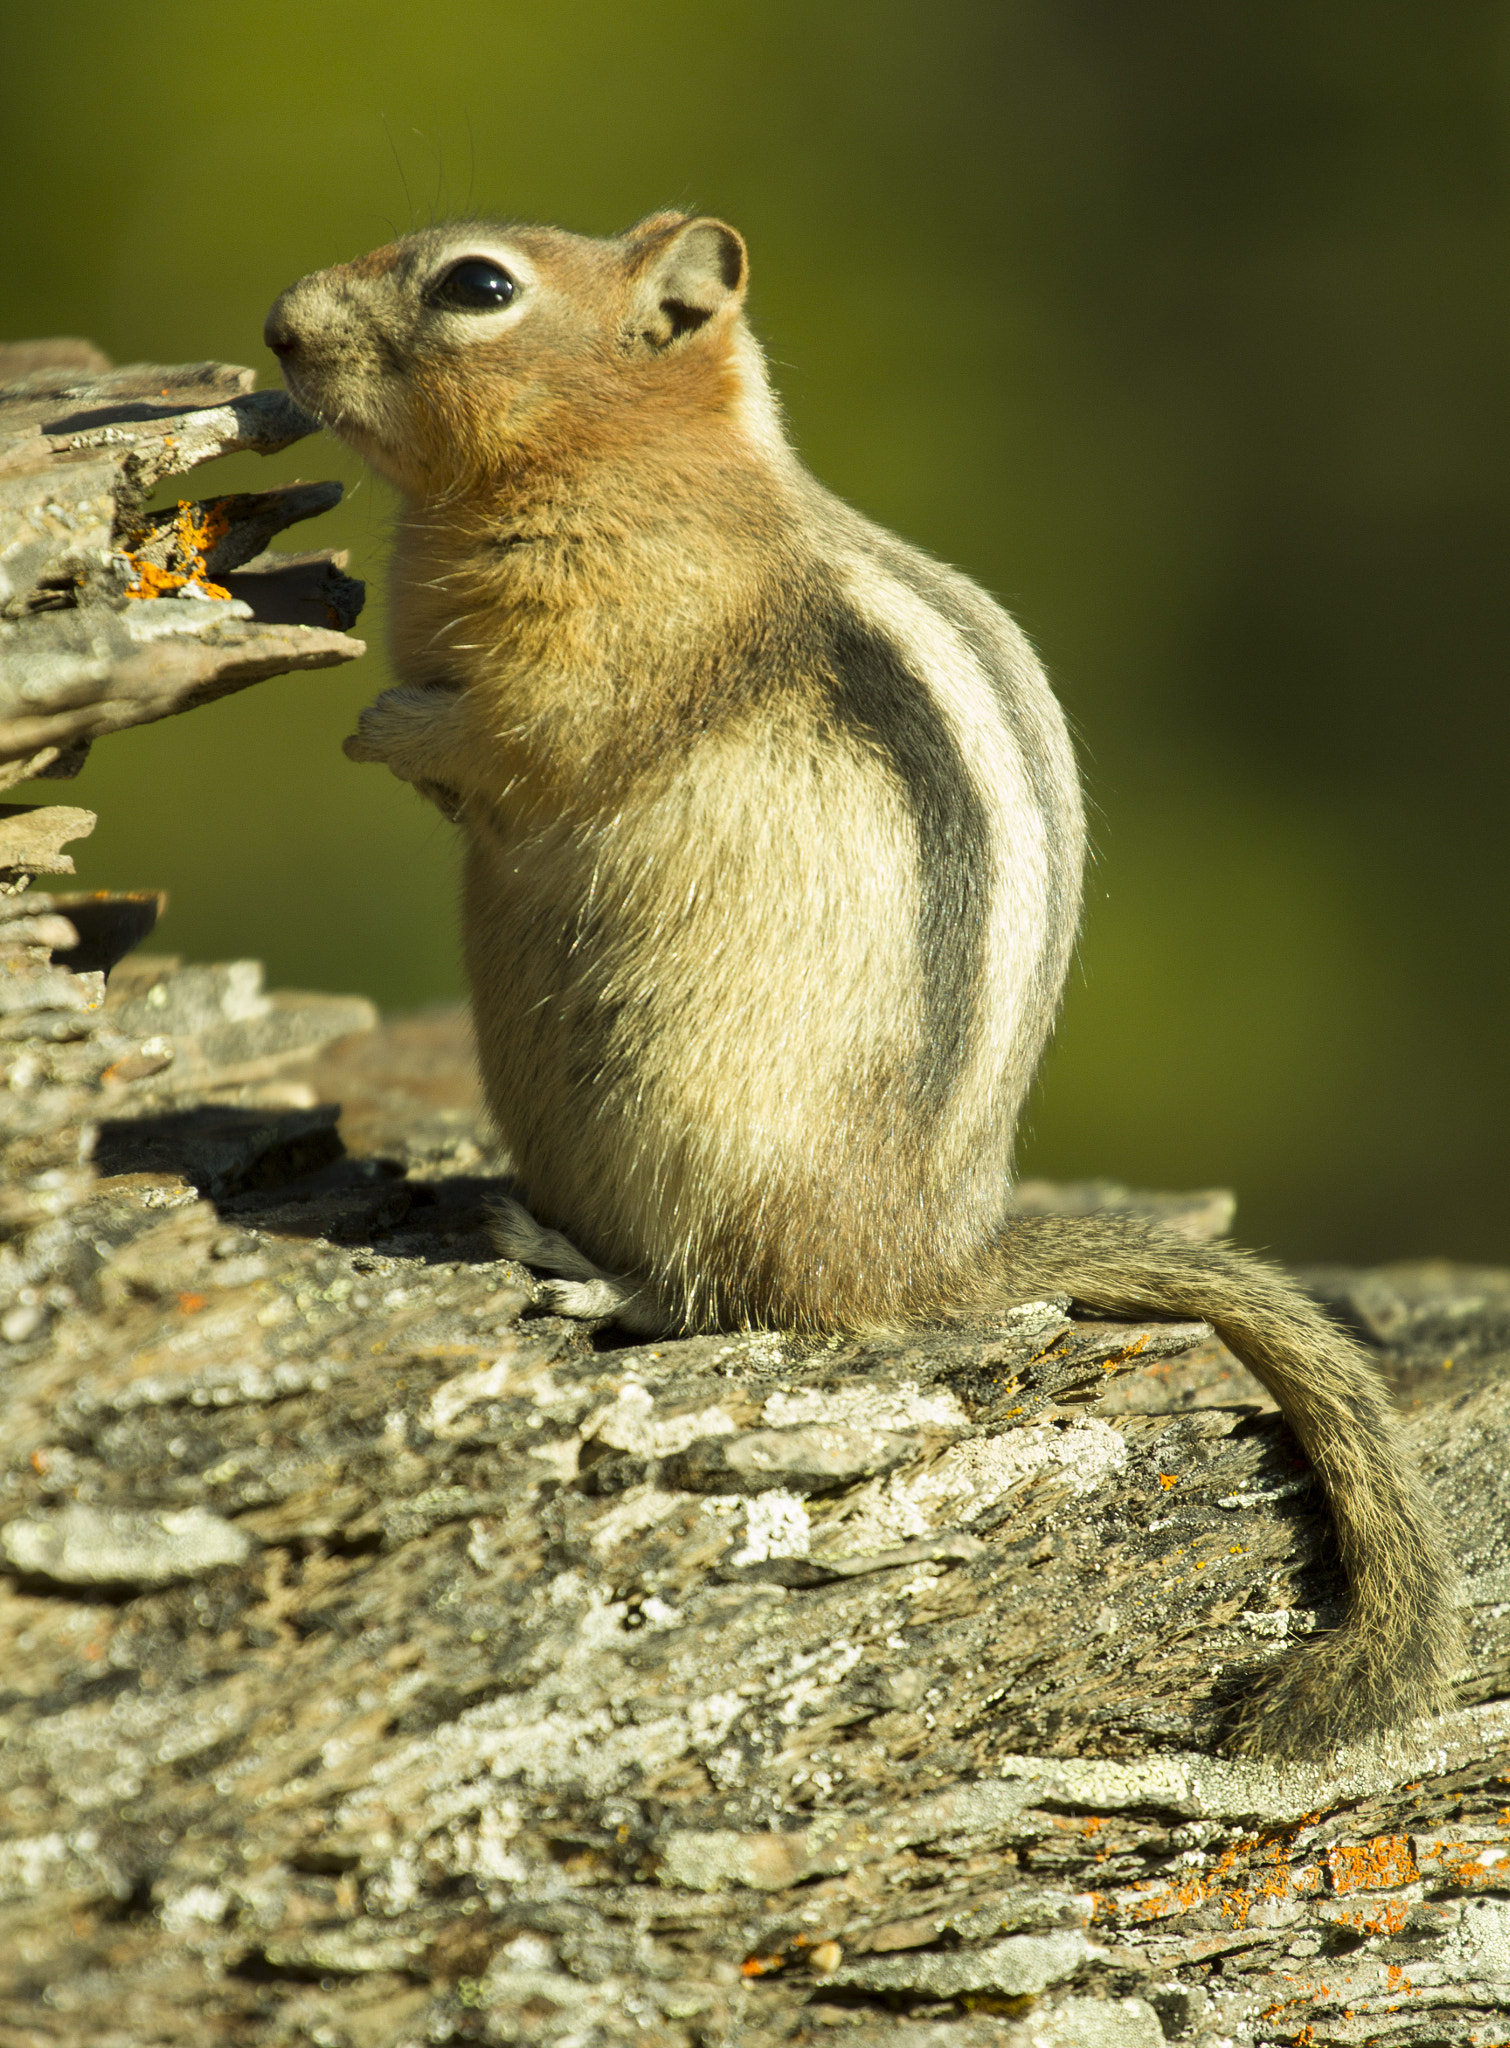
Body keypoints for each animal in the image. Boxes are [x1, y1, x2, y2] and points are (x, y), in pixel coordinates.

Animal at [264, 211, 1458, 1761]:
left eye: (477, 285)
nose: (281, 326)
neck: (632, 461)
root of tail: (937, 1258)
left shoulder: (601, 647)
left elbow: (514, 735)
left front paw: (380, 723)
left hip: (689, 1116)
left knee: (735, 1301)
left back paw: (572, 1267)